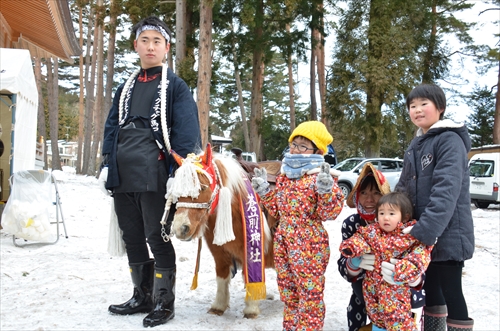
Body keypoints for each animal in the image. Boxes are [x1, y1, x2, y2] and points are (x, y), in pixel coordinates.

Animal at [167, 145, 278, 320]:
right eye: (176, 190)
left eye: (202, 188)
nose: (180, 229)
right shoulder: (219, 252)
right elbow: (221, 276)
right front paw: (218, 306)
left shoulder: (250, 250)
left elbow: (249, 276)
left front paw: (251, 308)